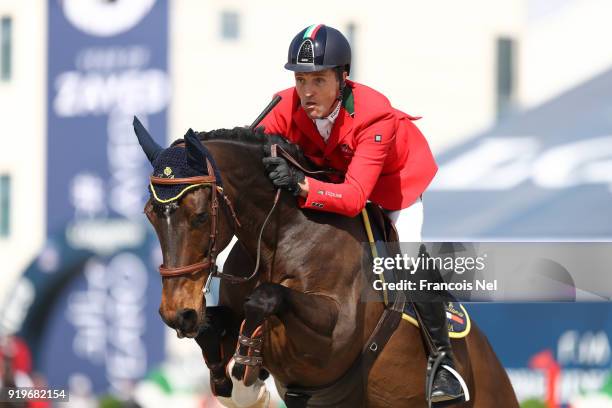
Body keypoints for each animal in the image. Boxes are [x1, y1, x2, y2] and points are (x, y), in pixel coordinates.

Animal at [134, 118, 516, 408]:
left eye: (200, 216)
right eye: (150, 214)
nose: (177, 313)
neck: (279, 235)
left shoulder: (332, 336)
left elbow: (265, 299)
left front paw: (248, 374)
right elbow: (212, 325)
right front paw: (232, 381)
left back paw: (444, 382)